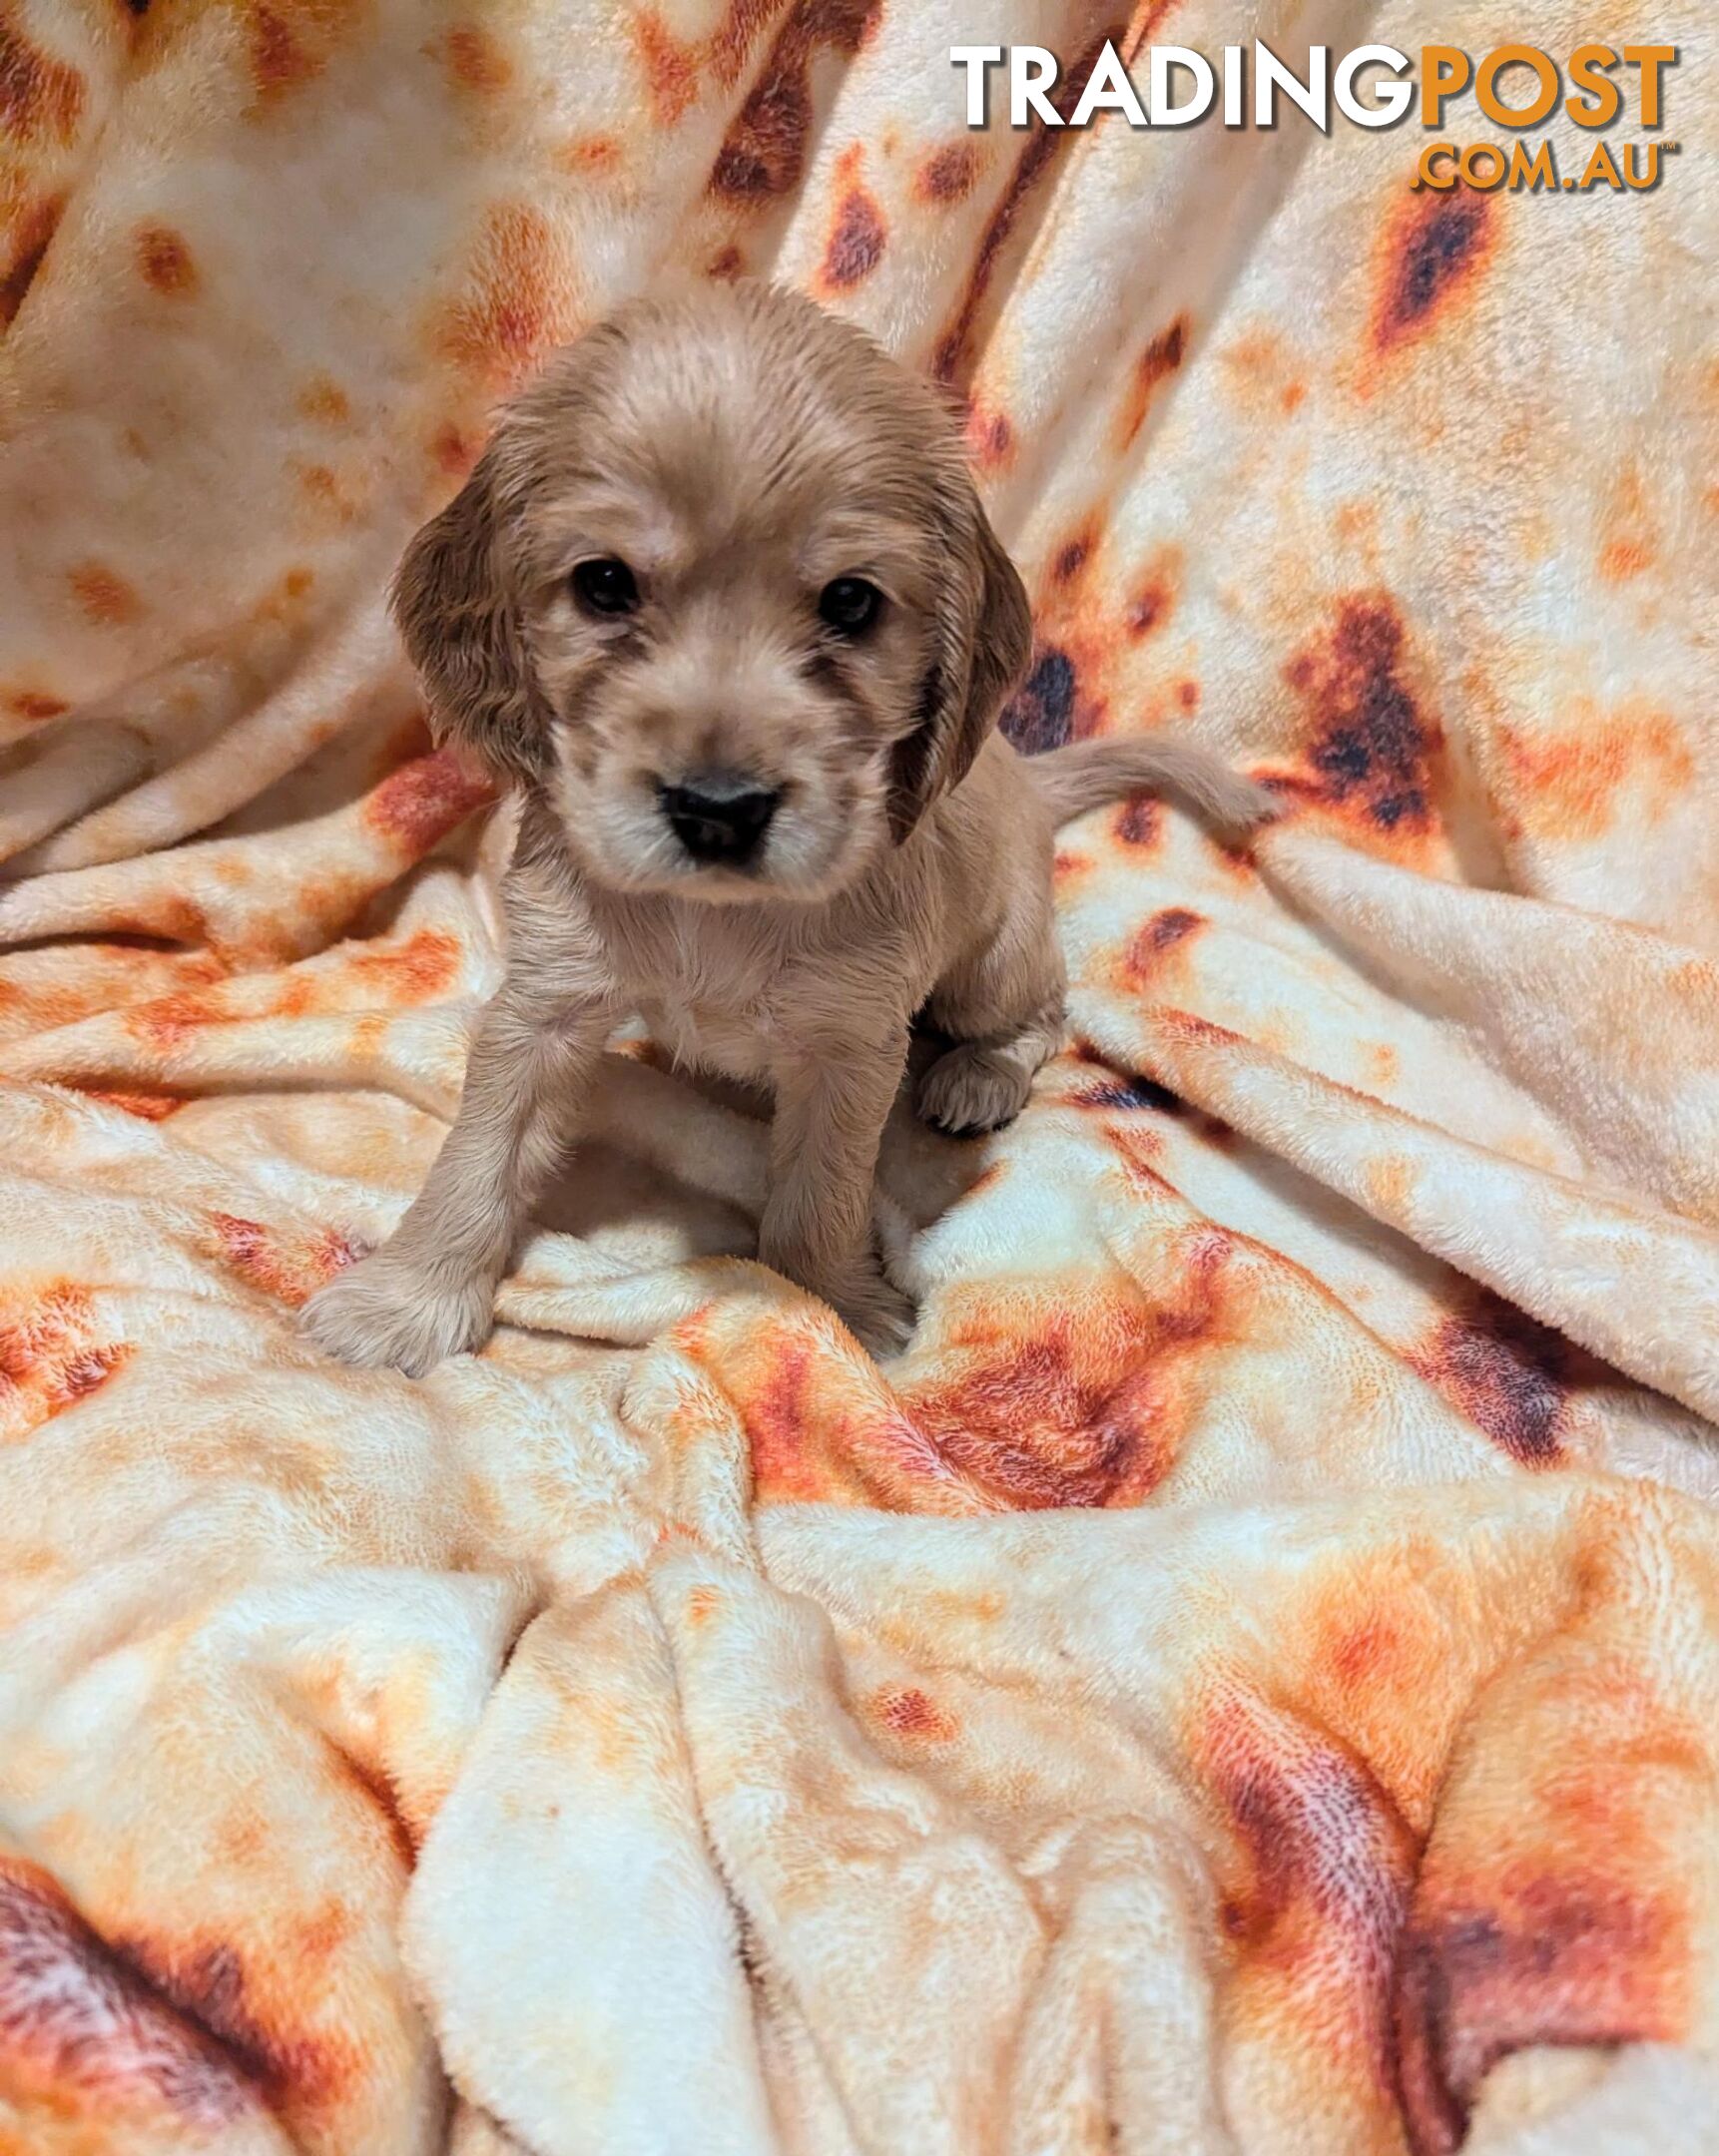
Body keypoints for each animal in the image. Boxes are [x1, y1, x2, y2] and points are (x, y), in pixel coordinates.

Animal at [303, 277, 1277, 1370]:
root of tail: (1024, 779)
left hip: (994, 961)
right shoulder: (545, 1000)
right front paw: (406, 1300)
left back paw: (978, 1077)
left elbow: (819, 1194)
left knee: (1046, 1013)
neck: (716, 918)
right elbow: (479, 1156)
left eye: (851, 601)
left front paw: (830, 1310)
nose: (717, 808)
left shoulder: (848, 1046)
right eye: (604, 584)